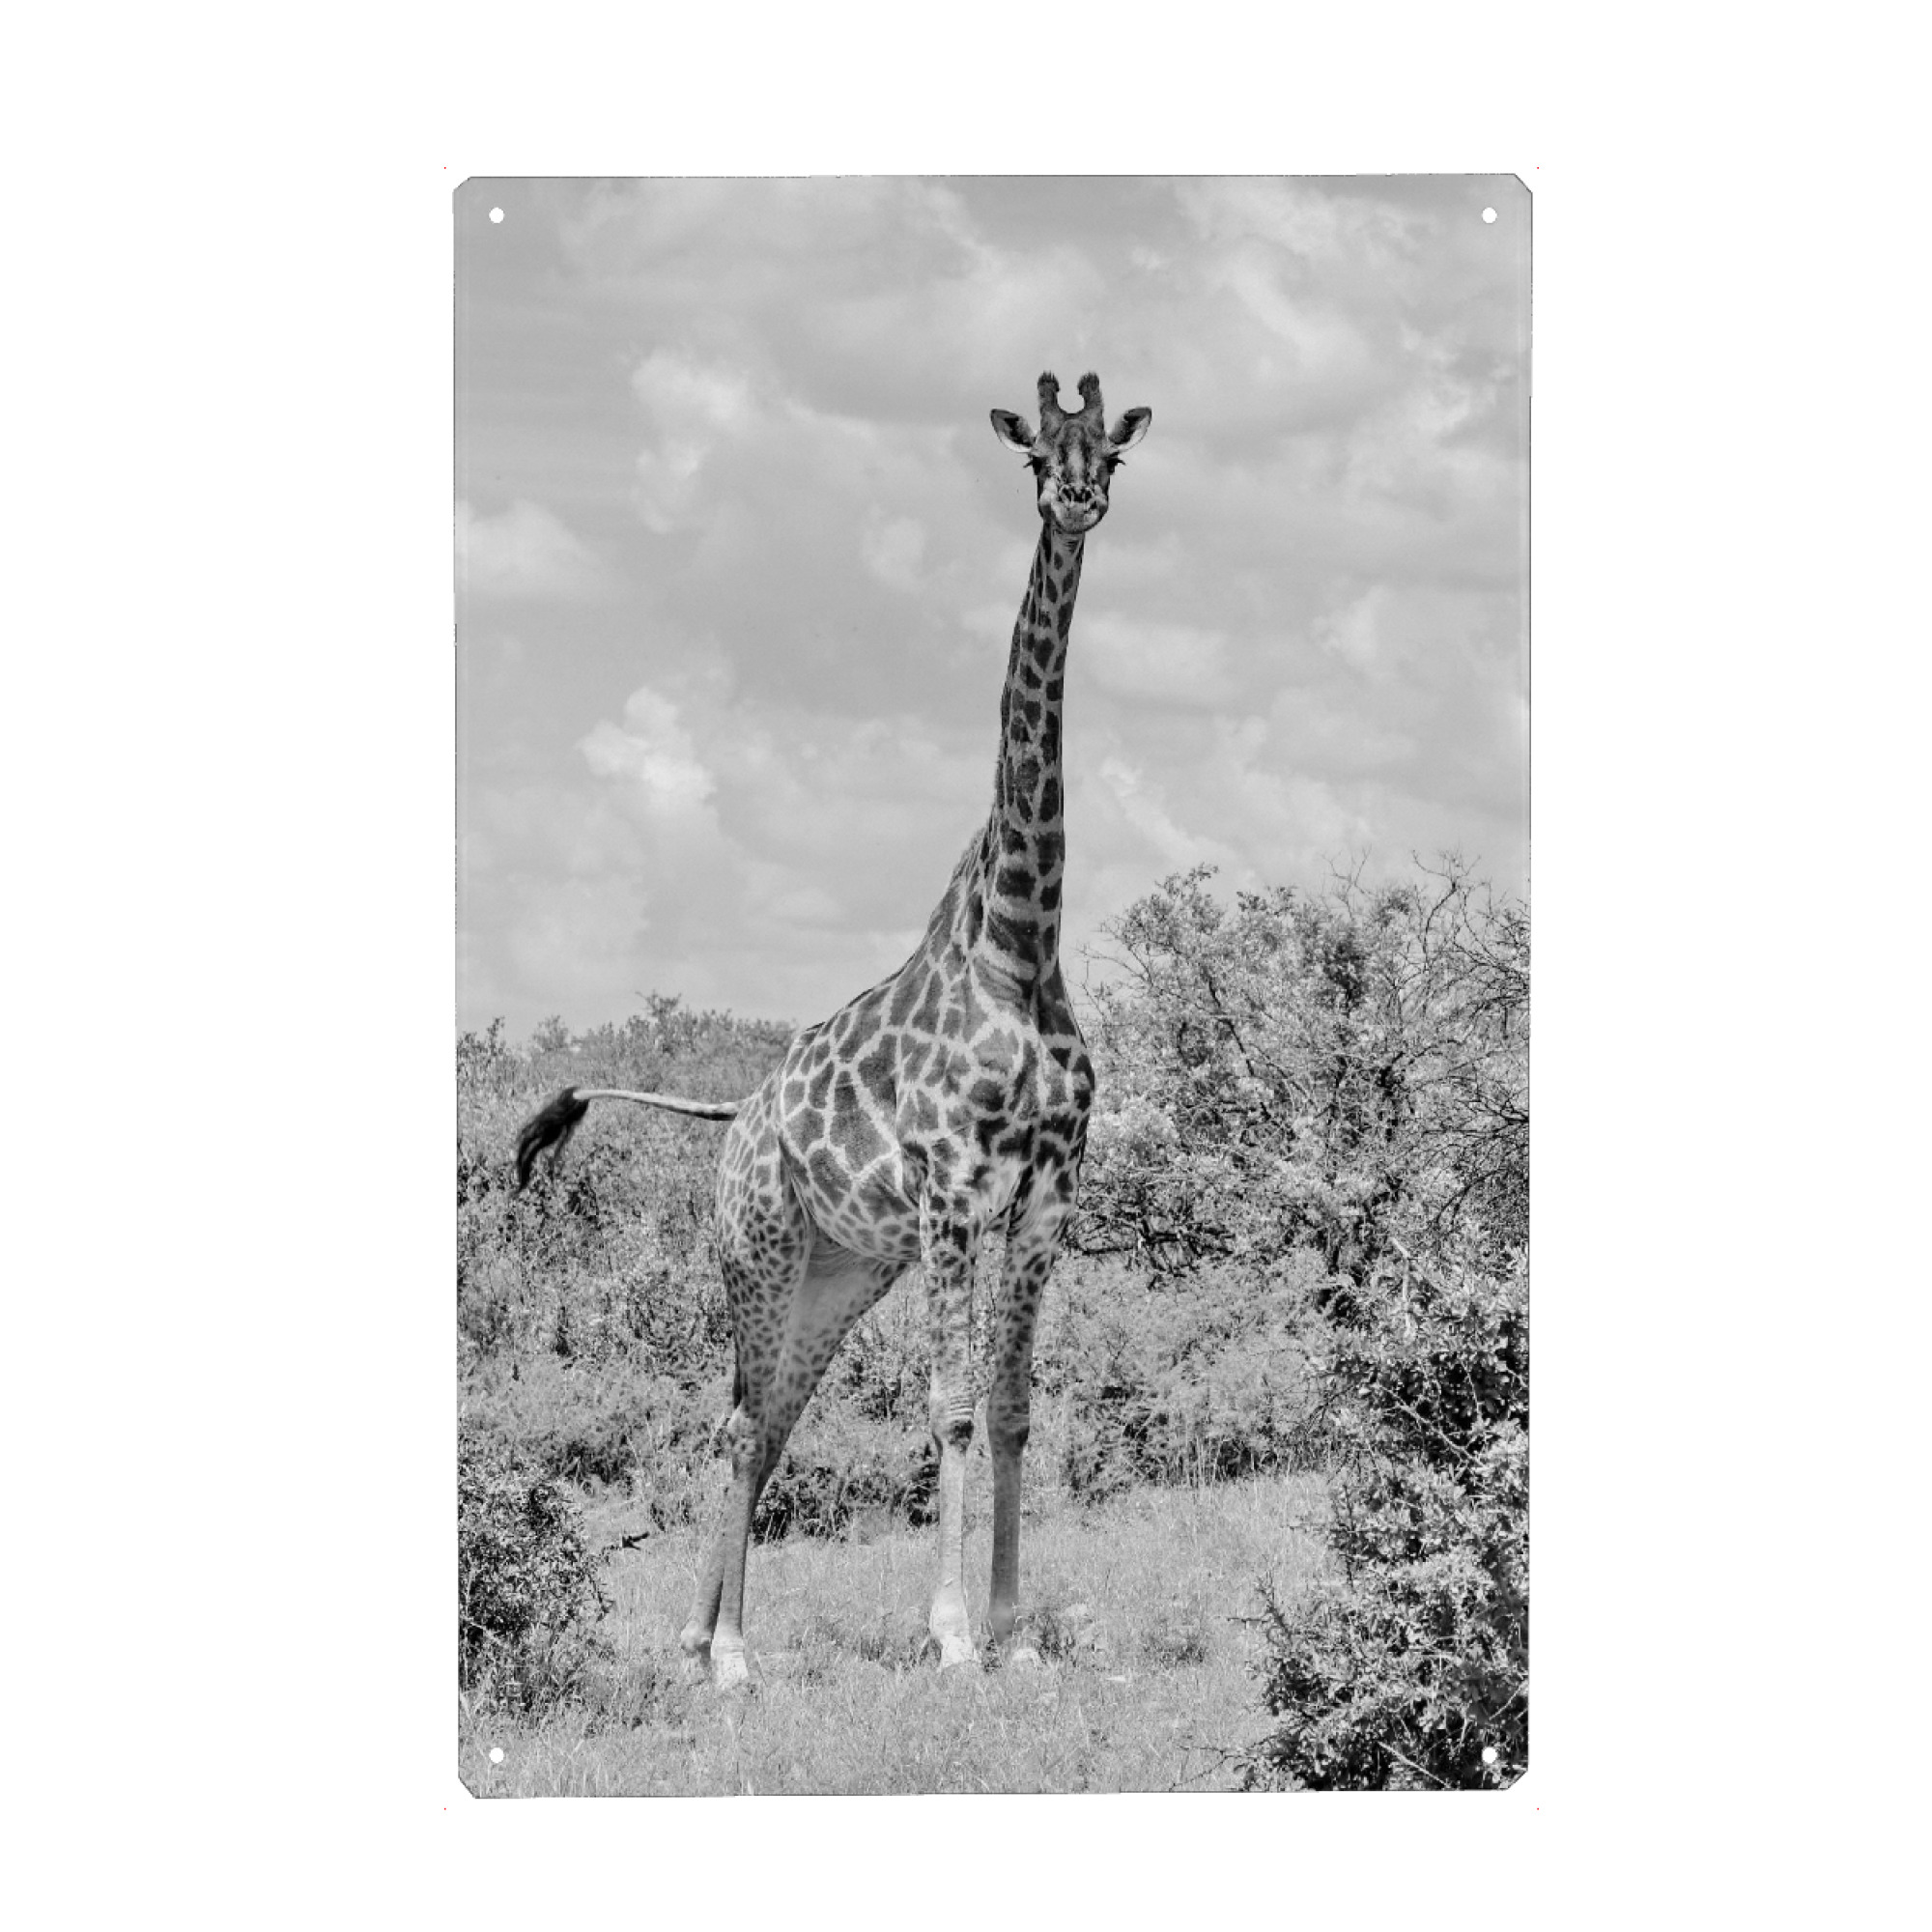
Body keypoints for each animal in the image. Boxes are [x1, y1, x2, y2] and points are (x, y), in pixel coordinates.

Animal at [514, 370, 1151, 1688]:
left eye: (1108, 449)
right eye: (1033, 454)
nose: (1076, 498)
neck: (1021, 943)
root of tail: (736, 1111)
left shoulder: (1047, 1198)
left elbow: (1013, 1408)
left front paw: (1016, 1632)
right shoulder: (956, 1189)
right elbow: (951, 1405)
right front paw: (953, 1636)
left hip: (837, 1272)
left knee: (763, 1425)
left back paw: (700, 1637)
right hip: (754, 1248)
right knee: (737, 1419)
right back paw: (729, 1659)